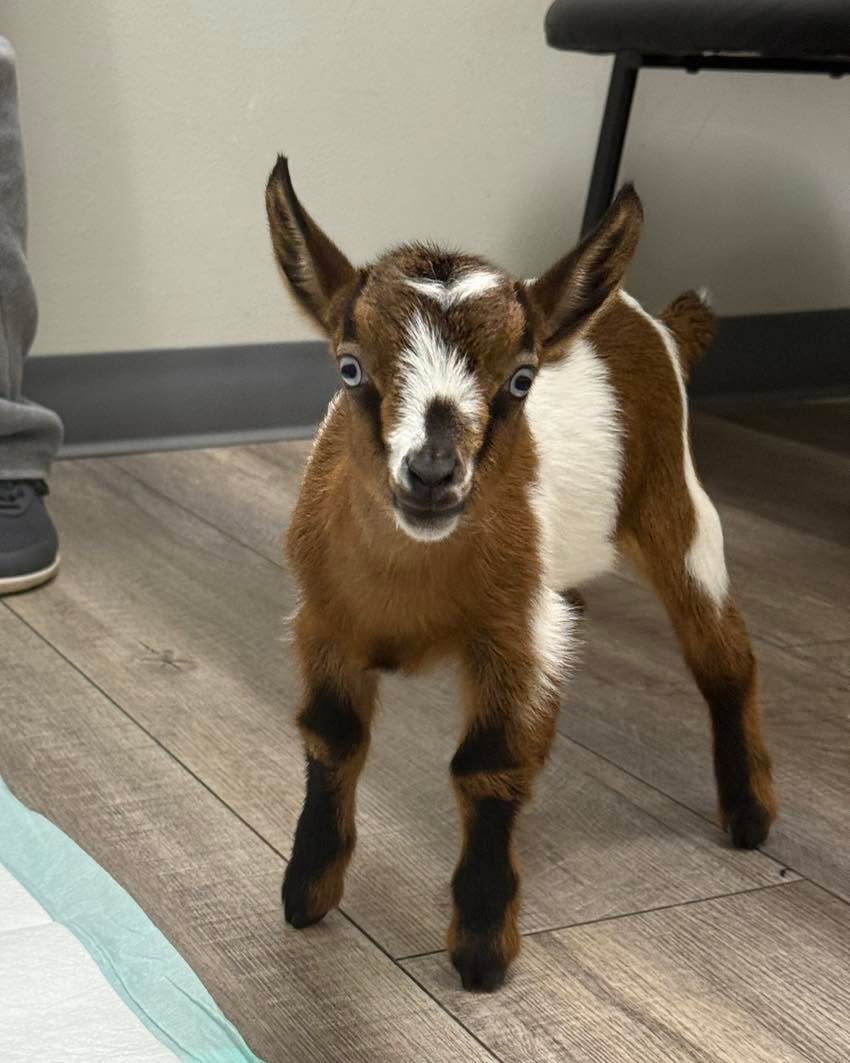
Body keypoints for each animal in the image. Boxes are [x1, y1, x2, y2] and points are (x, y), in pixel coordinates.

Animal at [264, 157, 777, 992]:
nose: (432, 473)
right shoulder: (325, 622)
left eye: (521, 380)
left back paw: (751, 812)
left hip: (676, 506)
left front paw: (480, 947)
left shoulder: (509, 632)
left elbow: (490, 764)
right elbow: (332, 739)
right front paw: (306, 890)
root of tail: (654, 323)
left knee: (724, 653)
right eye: (349, 366)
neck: (408, 581)